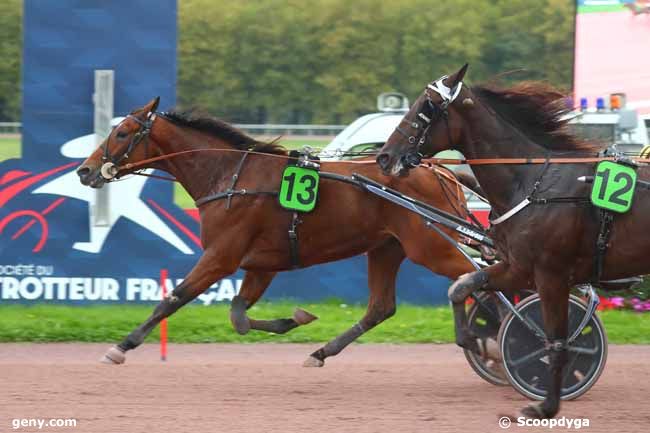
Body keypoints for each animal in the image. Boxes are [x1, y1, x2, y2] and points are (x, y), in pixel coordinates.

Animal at [77, 98, 476, 368]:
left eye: (122, 133)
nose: (85, 170)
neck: (231, 177)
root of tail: (442, 171)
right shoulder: (261, 264)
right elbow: (238, 316)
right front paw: (295, 318)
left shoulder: (221, 257)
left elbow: (174, 297)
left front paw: (122, 346)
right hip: (386, 248)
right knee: (381, 307)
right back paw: (321, 352)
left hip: (431, 246)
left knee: (472, 278)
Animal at [374, 63, 648, 416]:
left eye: (428, 106)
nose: (384, 156)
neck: (533, 183)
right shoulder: (519, 267)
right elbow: (461, 286)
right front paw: (477, 342)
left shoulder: (551, 274)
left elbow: (556, 340)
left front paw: (546, 405)